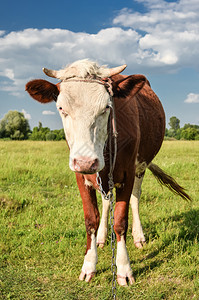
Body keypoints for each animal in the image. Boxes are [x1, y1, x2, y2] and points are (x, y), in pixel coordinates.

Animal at [25, 59, 190, 286]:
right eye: (61, 108)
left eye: (106, 107)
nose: (86, 160)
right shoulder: (81, 175)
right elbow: (91, 220)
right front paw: (89, 265)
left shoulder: (128, 172)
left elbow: (120, 221)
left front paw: (124, 269)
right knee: (105, 201)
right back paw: (102, 237)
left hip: (140, 167)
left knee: (135, 198)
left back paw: (139, 236)